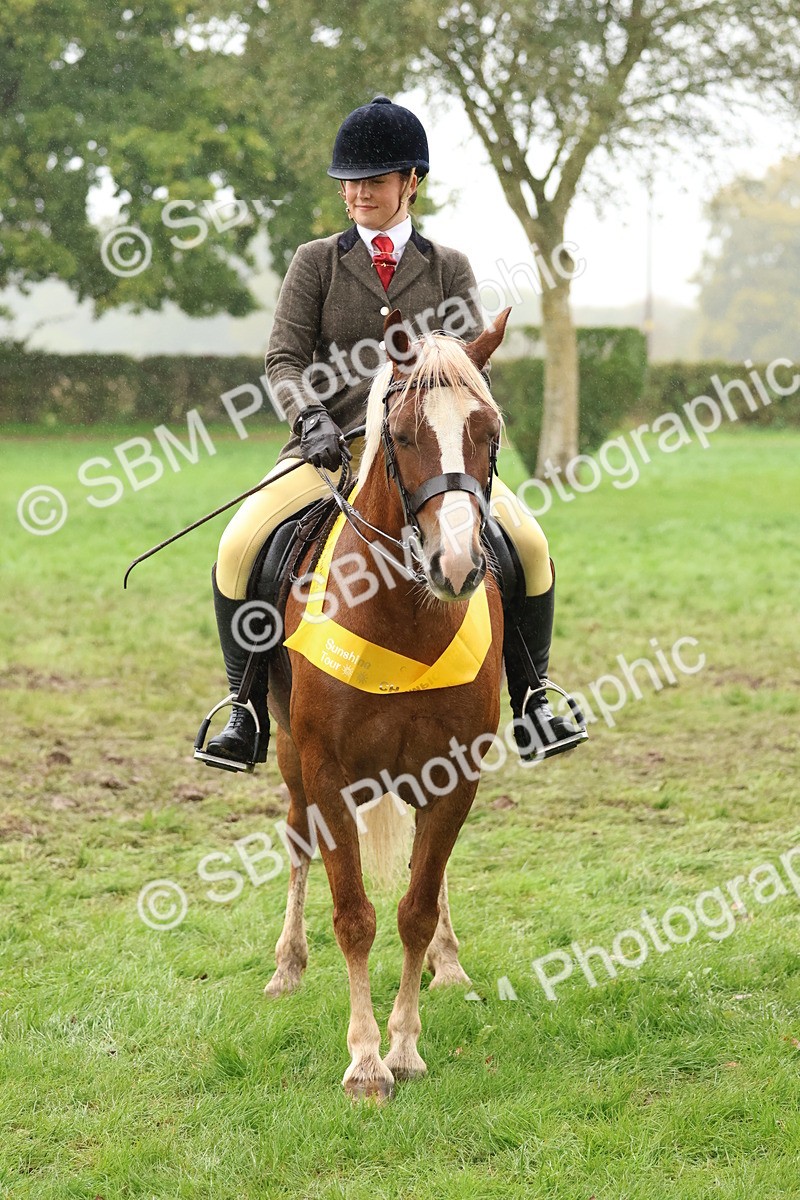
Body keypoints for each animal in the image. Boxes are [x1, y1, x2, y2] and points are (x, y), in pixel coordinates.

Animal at [265, 307, 511, 1100]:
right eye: (401, 435)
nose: (457, 566)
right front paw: (366, 1061)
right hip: (287, 754)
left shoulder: (454, 775)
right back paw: (286, 967)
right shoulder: (326, 772)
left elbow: (414, 908)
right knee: (296, 839)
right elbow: (354, 917)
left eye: (488, 431)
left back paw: (450, 962)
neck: (401, 612)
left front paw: (404, 1046)